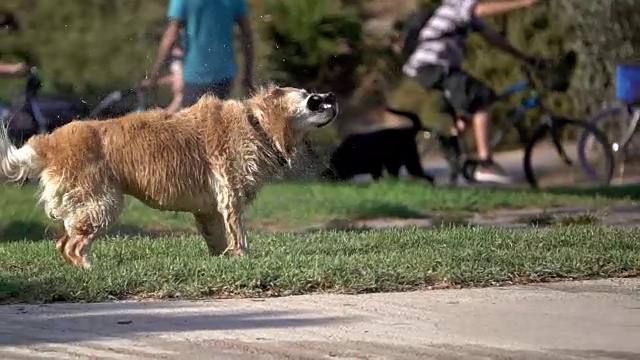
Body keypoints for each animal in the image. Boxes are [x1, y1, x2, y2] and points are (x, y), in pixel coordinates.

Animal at [0, 86, 340, 268]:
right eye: (312, 99)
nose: (332, 96)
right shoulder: (230, 197)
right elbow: (239, 235)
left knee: (63, 244)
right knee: (72, 246)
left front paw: (223, 262)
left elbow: (217, 240)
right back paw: (90, 269)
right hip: (101, 205)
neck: (256, 124)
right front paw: (244, 260)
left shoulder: (208, 211)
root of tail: (47, 143)